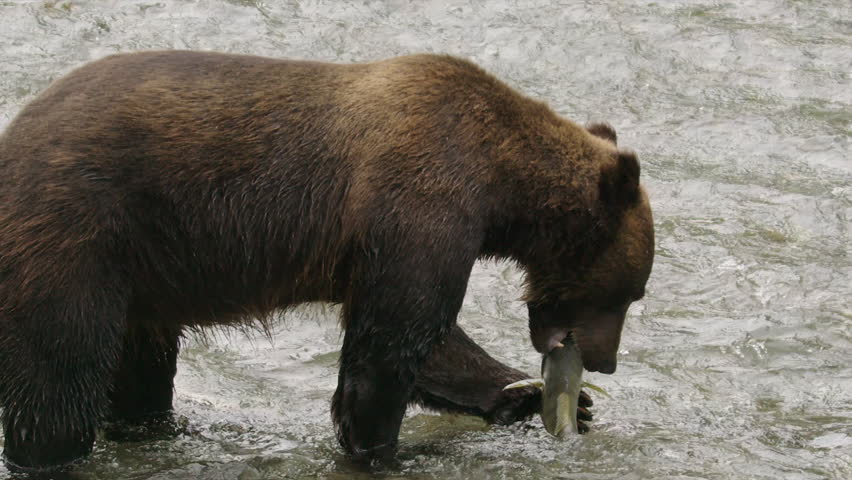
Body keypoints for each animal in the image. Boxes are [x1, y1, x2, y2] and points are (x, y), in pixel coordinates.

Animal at [0, 51, 653, 472]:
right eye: (633, 292)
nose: (606, 362)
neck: (500, 187)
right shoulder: (422, 203)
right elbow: (395, 341)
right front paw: (376, 447)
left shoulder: (387, 242)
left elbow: (429, 341)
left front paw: (539, 398)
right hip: (79, 234)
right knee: (60, 371)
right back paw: (51, 453)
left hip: (144, 271)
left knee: (142, 368)